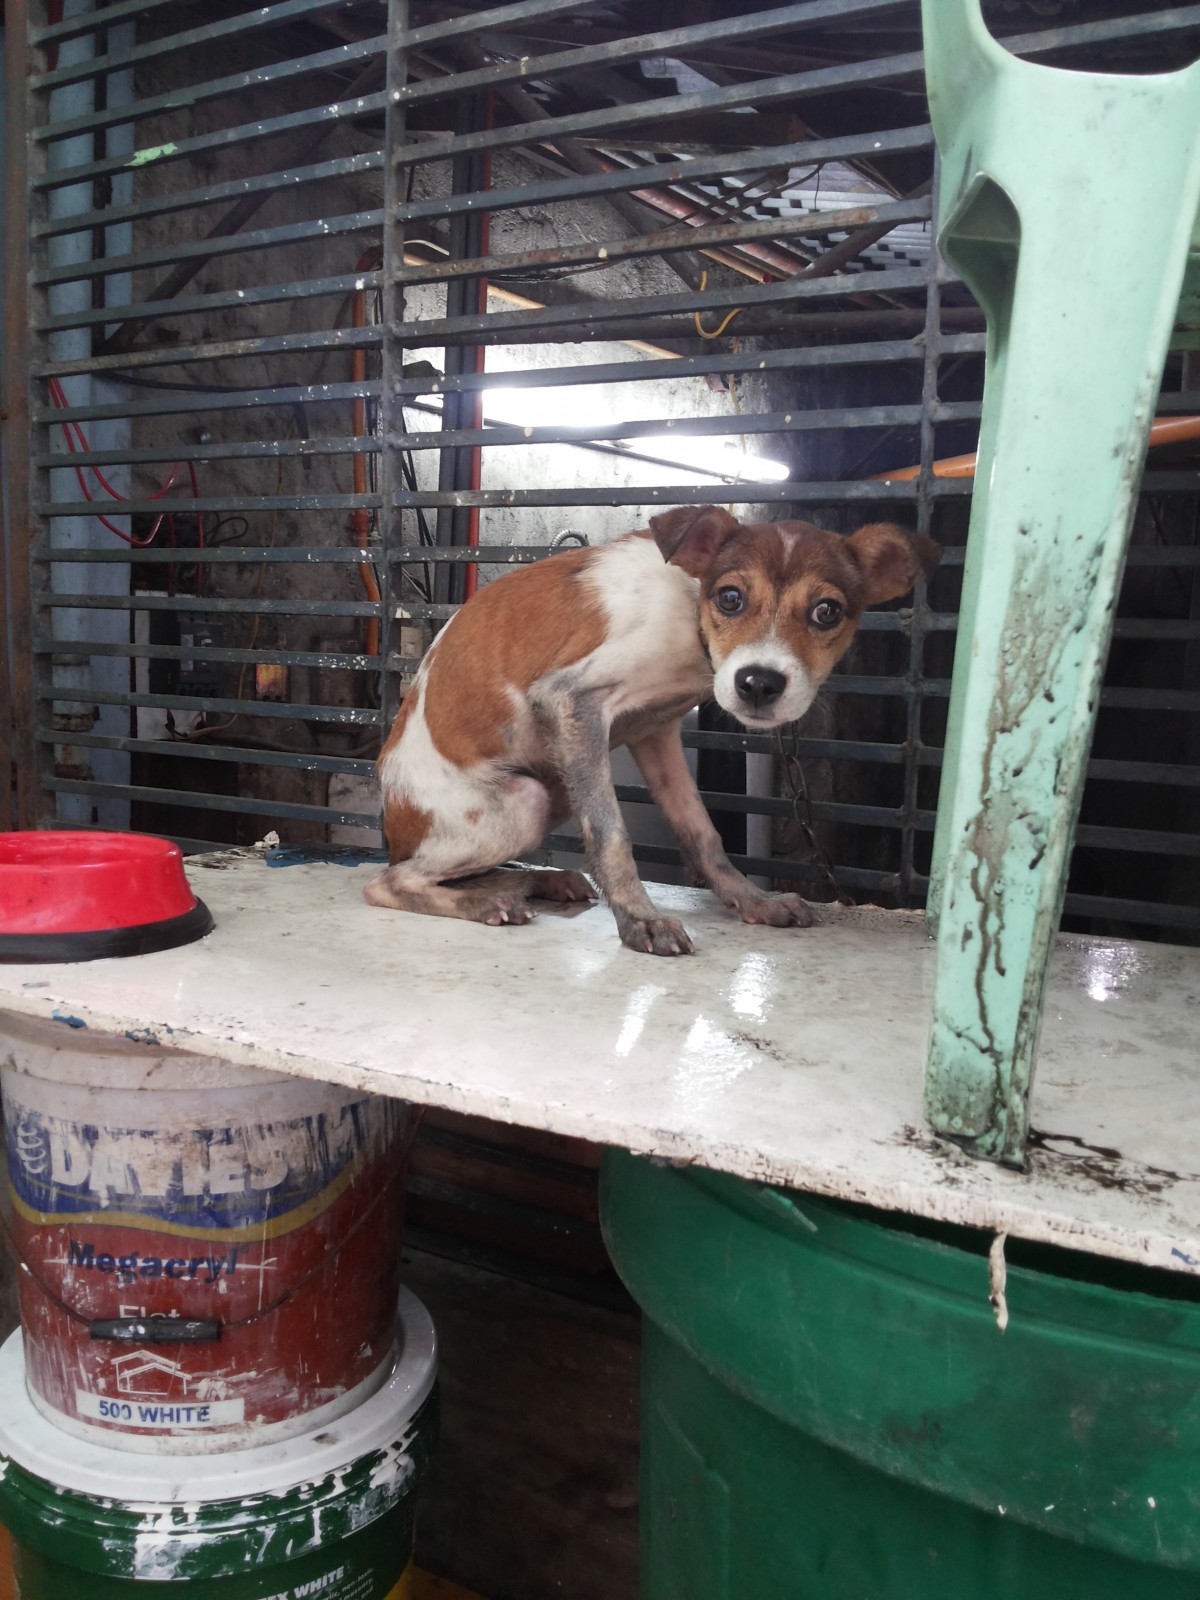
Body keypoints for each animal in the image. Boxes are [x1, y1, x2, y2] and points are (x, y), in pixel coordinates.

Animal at [366, 508, 940, 947]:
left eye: (828, 611)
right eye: (730, 597)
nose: (759, 683)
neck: (692, 614)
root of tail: (394, 825)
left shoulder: (655, 732)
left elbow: (703, 834)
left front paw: (752, 900)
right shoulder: (570, 700)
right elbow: (612, 835)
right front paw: (639, 919)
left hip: (554, 788)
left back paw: (532, 883)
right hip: (524, 800)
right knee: (388, 883)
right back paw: (481, 904)